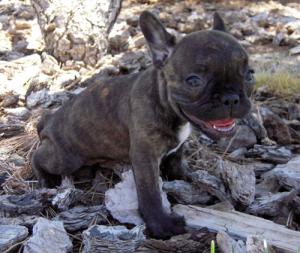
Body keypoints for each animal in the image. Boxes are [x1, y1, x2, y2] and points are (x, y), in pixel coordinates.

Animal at [32, 11, 253, 239]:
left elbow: (176, 161)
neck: (165, 103)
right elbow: (150, 192)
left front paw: (187, 178)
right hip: (66, 159)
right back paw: (46, 179)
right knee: (38, 157)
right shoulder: (145, 156)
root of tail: (47, 121)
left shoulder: (177, 147)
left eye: (249, 75)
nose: (231, 98)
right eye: (194, 81)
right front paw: (162, 225)